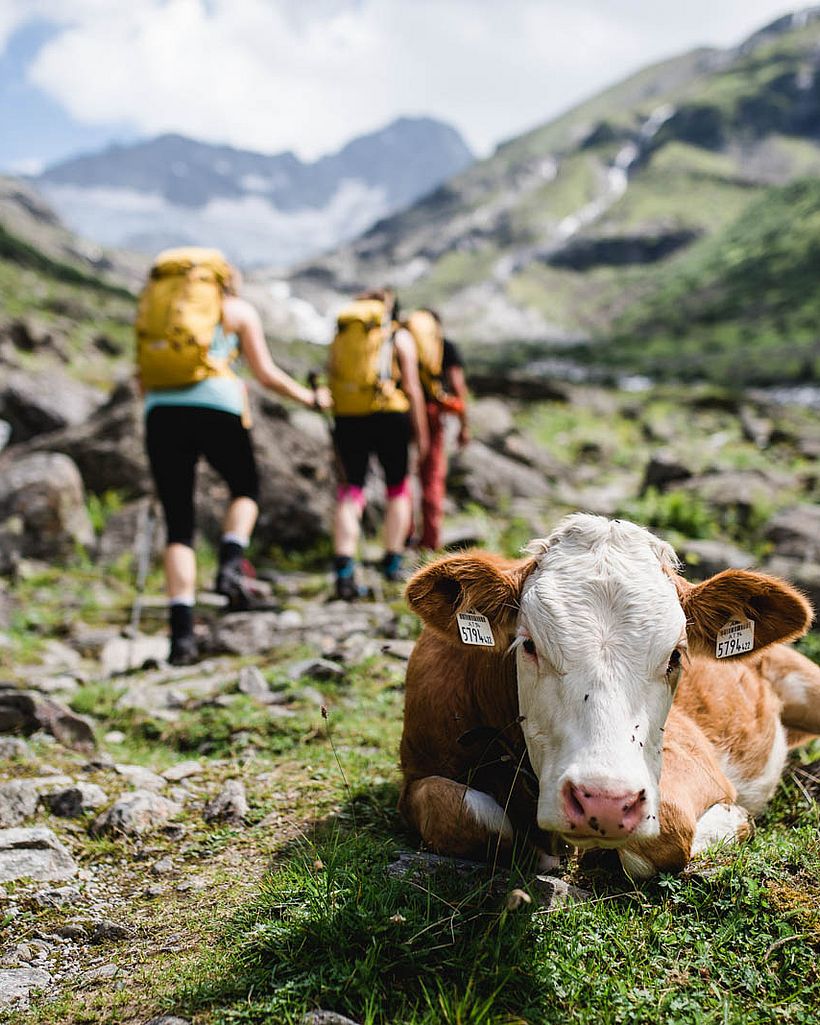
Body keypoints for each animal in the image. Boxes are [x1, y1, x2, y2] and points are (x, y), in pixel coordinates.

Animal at [399, 516, 820, 877]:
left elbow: (666, 834)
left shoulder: (690, 762)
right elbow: (448, 809)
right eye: (529, 645)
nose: (603, 802)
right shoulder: (418, 770)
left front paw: (737, 818)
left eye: (675, 655)